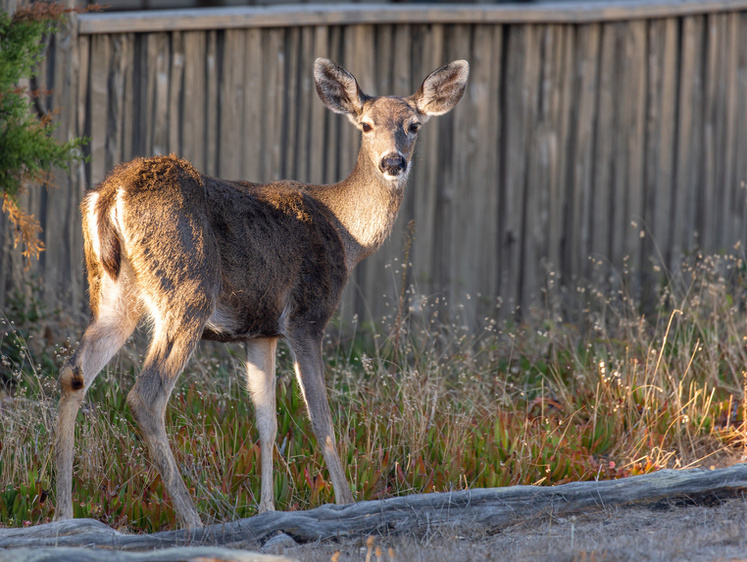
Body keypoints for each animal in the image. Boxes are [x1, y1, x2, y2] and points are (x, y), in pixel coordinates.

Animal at [55, 57, 470, 524]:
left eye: (413, 125)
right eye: (365, 125)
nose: (393, 162)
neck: (347, 235)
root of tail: (112, 193)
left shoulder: (261, 330)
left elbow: (266, 421)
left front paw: (267, 509)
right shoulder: (306, 315)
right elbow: (321, 420)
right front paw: (346, 502)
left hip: (112, 293)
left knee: (74, 373)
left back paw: (64, 514)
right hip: (188, 288)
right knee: (146, 395)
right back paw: (191, 519)